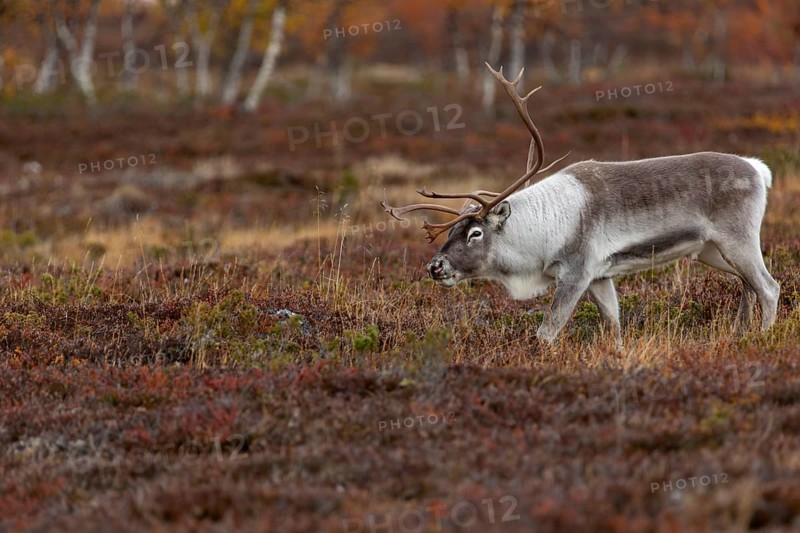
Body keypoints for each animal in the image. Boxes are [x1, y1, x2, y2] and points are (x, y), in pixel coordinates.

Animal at [381, 63, 779, 345]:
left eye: (475, 233)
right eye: (453, 232)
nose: (435, 266)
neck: (540, 232)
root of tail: (758, 169)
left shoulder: (576, 272)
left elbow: (546, 333)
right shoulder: (601, 276)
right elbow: (613, 326)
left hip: (738, 240)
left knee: (768, 286)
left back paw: (761, 338)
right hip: (711, 251)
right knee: (747, 284)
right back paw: (741, 331)